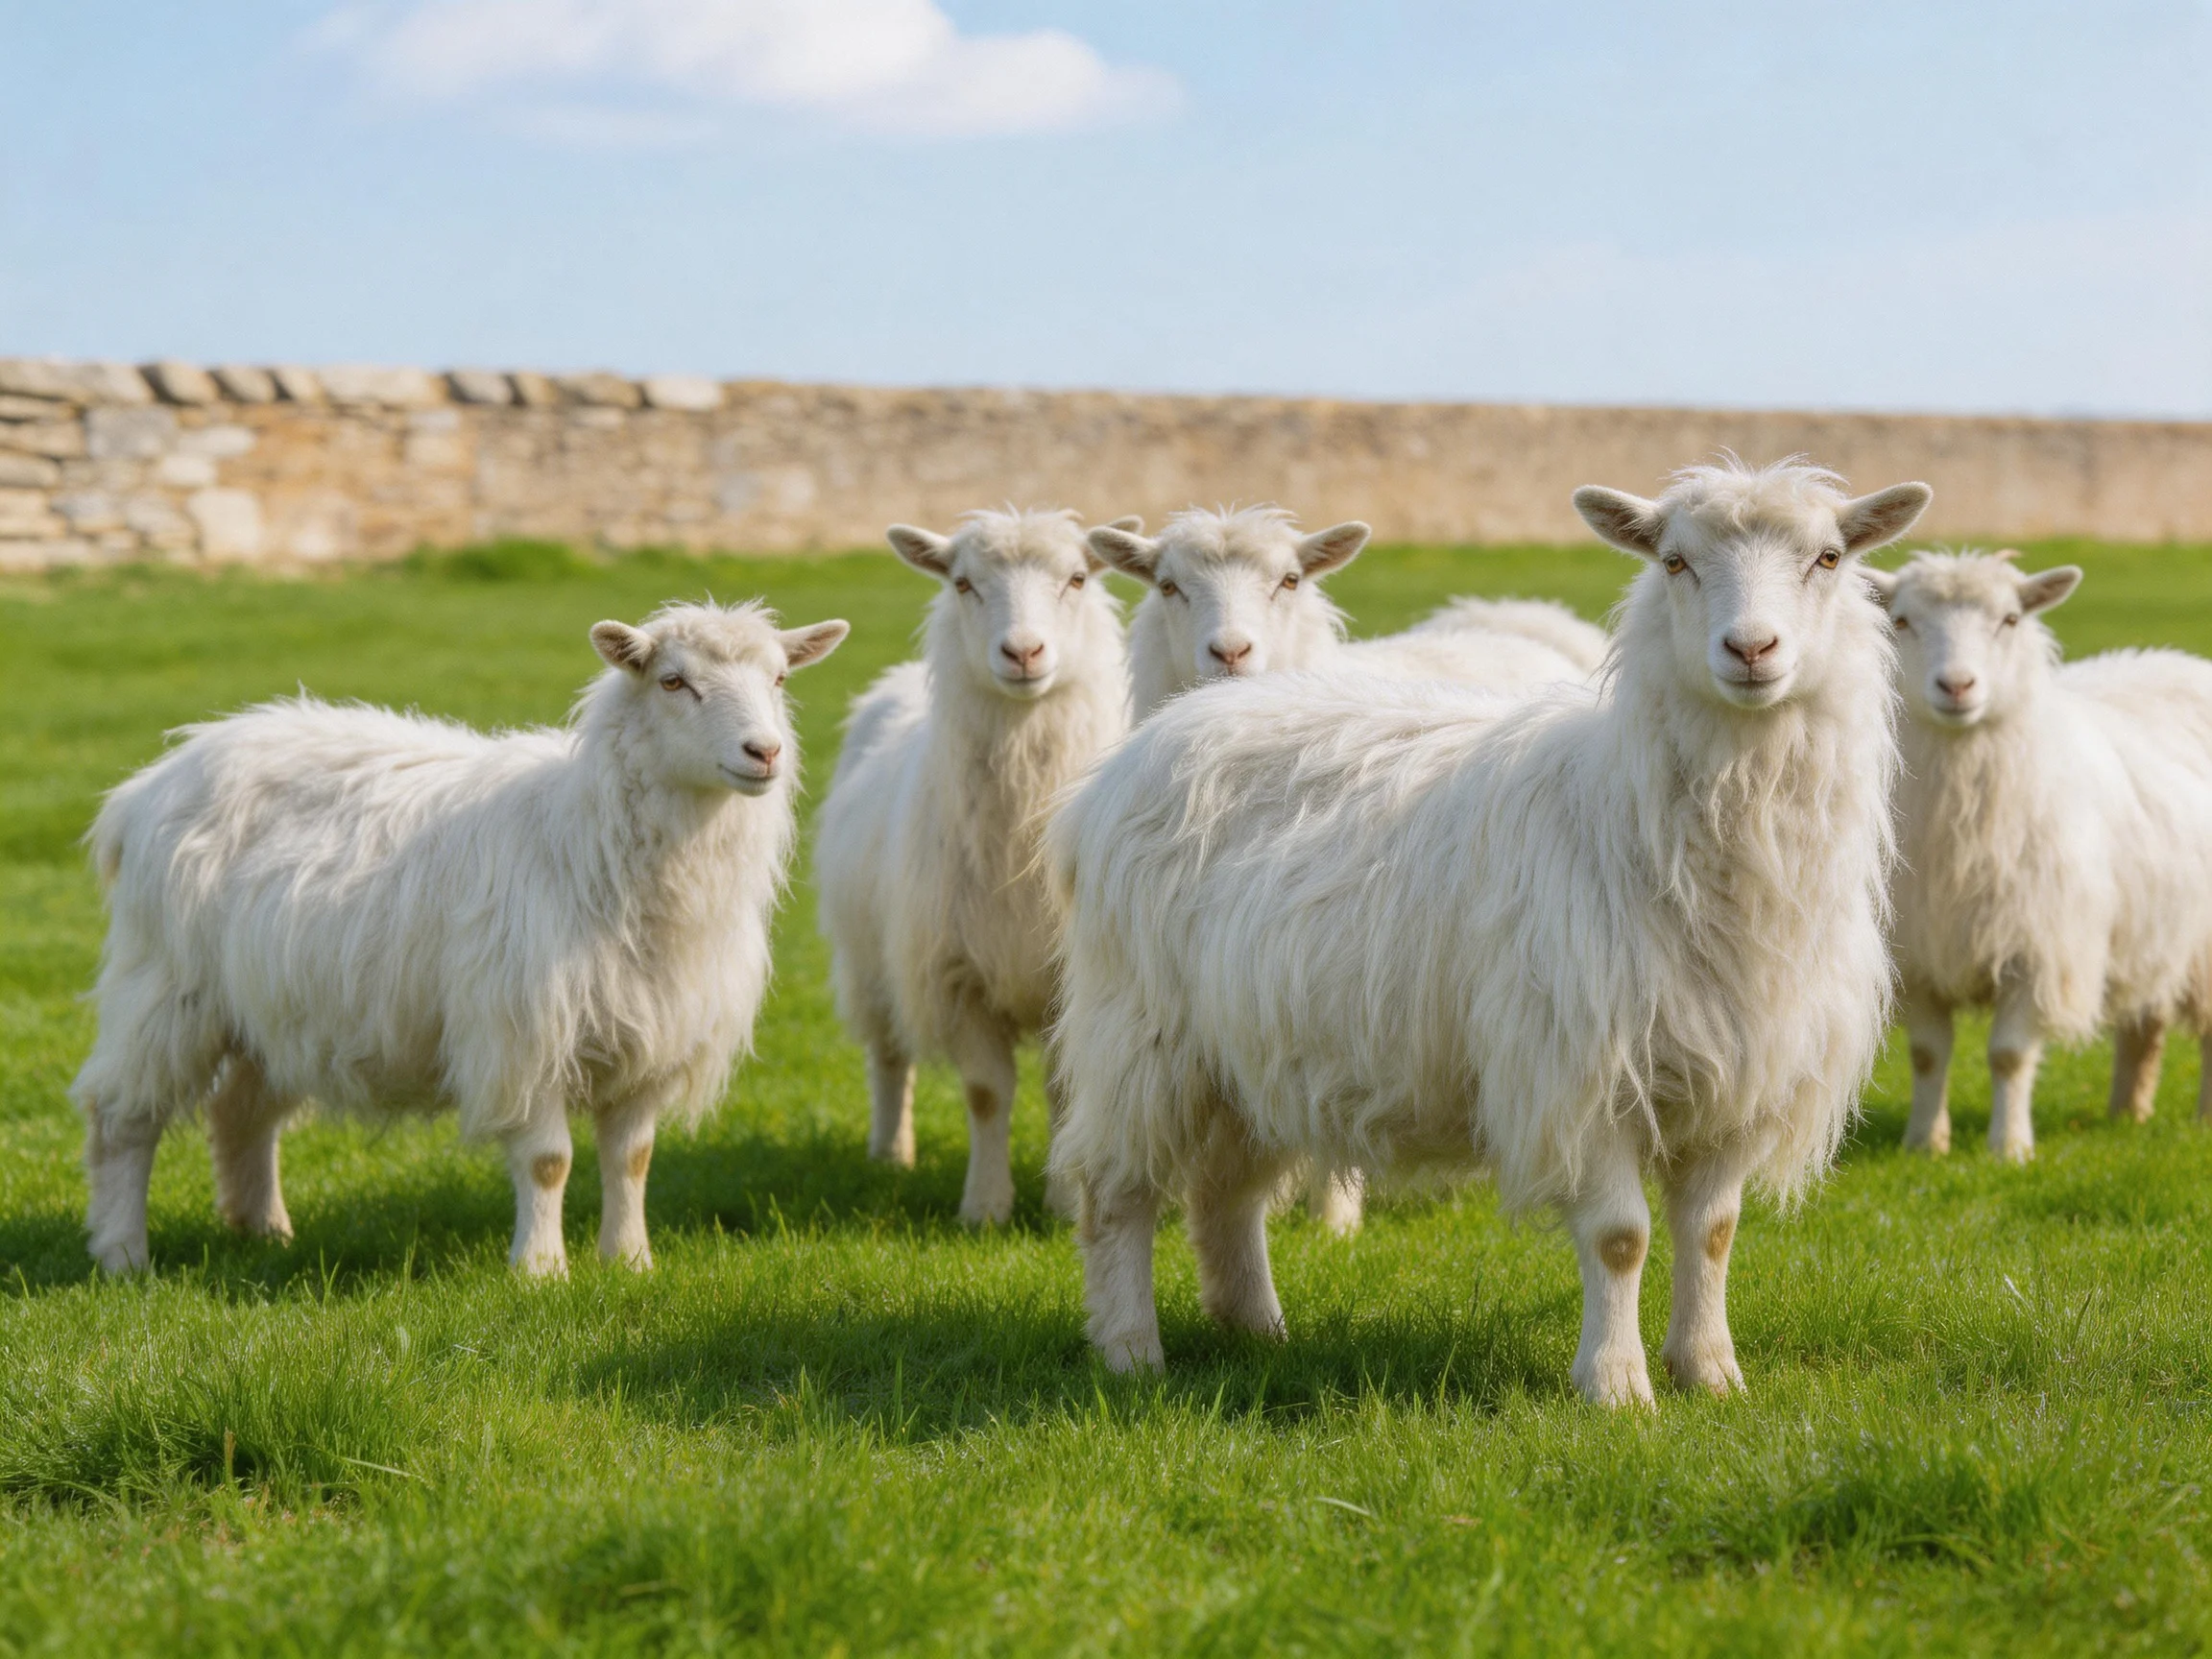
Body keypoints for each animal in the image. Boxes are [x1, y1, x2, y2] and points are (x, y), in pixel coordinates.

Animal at [70, 600, 848, 1276]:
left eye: (780, 679)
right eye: (673, 681)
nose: (765, 752)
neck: (586, 838)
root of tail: (148, 785)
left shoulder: (649, 1037)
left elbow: (633, 1158)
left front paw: (630, 1263)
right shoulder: (522, 1032)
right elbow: (548, 1161)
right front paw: (541, 1271)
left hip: (274, 1005)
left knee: (240, 1114)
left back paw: (264, 1232)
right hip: (166, 987)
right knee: (121, 1119)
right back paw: (123, 1255)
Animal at [815, 508, 1128, 1225]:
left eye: (1077, 578)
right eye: (962, 583)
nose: (1023, 654)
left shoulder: (1064, 980)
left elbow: (1062, 1093)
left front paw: (1062, 1203)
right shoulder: (957, 976)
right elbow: (986, 1094)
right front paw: (985, 1207)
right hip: (872, 959)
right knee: (888, 1056)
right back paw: (889, 1152)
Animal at [1867, 550, 2212, 1160]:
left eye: (2009, 619)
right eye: (1902, 620)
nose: (1956, 686)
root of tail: (2184, 660)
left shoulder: (2040, 948)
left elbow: (2008, 1055)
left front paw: (2009, 1148)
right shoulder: (1919, 951)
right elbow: (1928, 1055)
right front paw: (1924, 1144)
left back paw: (2202, 1119)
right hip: (2152, 932)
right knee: (2144, 1025)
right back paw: (2128, 1113)